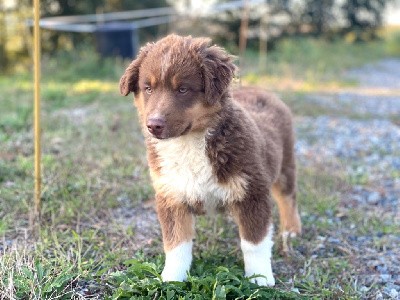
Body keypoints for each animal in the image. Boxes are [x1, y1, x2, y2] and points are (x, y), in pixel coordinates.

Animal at [120, 34, 302, 286]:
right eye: (148, 88)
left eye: (183, 89)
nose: (153, 125)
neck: (189, 142)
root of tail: (262, 90)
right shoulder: (171, 194)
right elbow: (176, 243)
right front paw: (172, 278)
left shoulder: (251, 191)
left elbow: (254, 242)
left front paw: (260, 278)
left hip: (285, 165)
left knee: (288, 197)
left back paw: (292, 229)